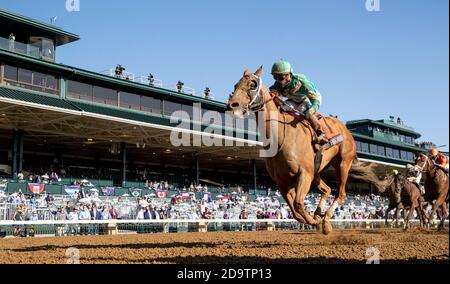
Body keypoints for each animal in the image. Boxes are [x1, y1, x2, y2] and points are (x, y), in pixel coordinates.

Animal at [229, 67, 386, 235]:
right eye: (236, 85)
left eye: (252, 84)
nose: (232, 104)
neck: (280, 136)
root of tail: (346, 130)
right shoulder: (282, 182)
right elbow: (295, 211)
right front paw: (314, 219)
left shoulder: (304, 174)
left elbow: (298, 204)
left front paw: (316, 221)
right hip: (317, 172)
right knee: (327, 189)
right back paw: (319, 214)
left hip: (342, 164)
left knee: (340, 193)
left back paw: (325, 219)